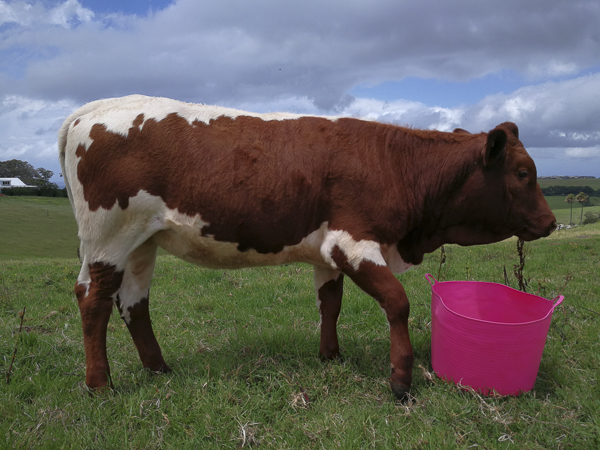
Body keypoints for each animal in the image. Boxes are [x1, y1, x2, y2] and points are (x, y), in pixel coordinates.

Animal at [58, 95, 556, 400]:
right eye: (523, 173)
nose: (551, 222)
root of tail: (95, 108)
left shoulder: (328, 251)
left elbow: (330, 302)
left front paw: (330, 357)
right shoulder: (353, 242)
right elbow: (397, 302)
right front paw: (401, 379)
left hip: (142, 242)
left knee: (133, 303)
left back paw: (158, 368)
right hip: (108, 237)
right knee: (94, 300)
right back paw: (100, 385)